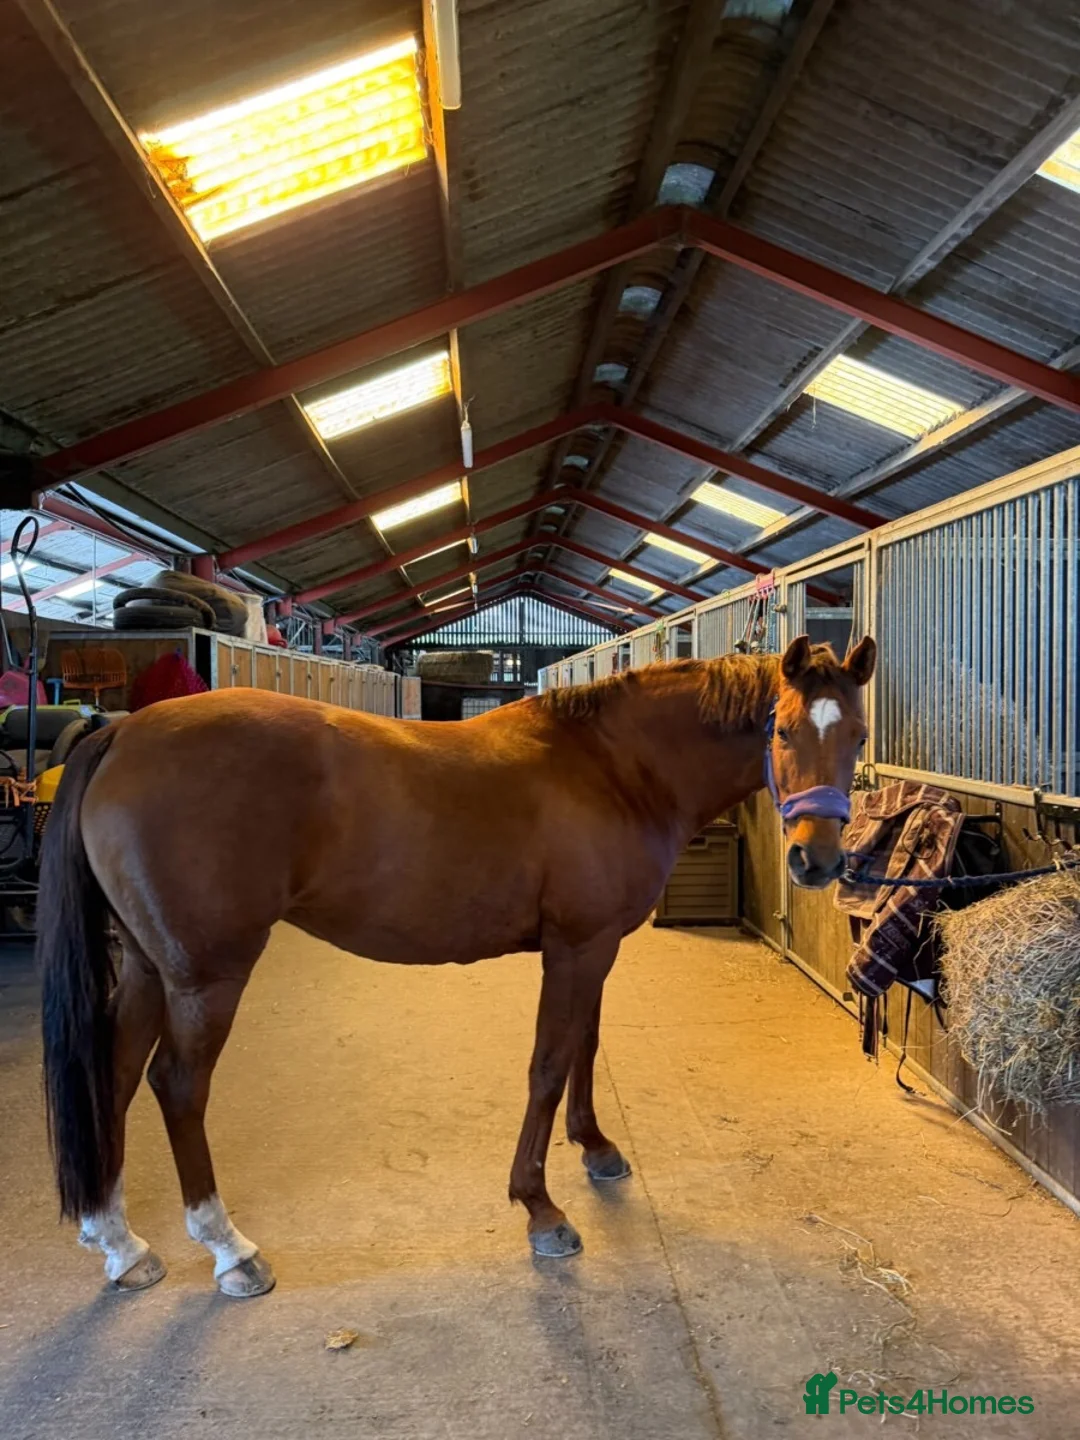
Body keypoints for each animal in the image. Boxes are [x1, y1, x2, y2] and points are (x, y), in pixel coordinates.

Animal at [38, 632, 875, 1297]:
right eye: (784, 730)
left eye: (860, 735)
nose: (817, 861)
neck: (612, 766)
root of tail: (122, 733)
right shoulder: (576, 948)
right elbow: (547, 1064)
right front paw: (540, 1207)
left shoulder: (598, 944)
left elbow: (586, 1047)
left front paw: (597, 1149)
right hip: (205, 977)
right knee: (177, 1086)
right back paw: (230, 1251)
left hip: (147, 968)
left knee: (113, 1074)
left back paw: (120, 1244)